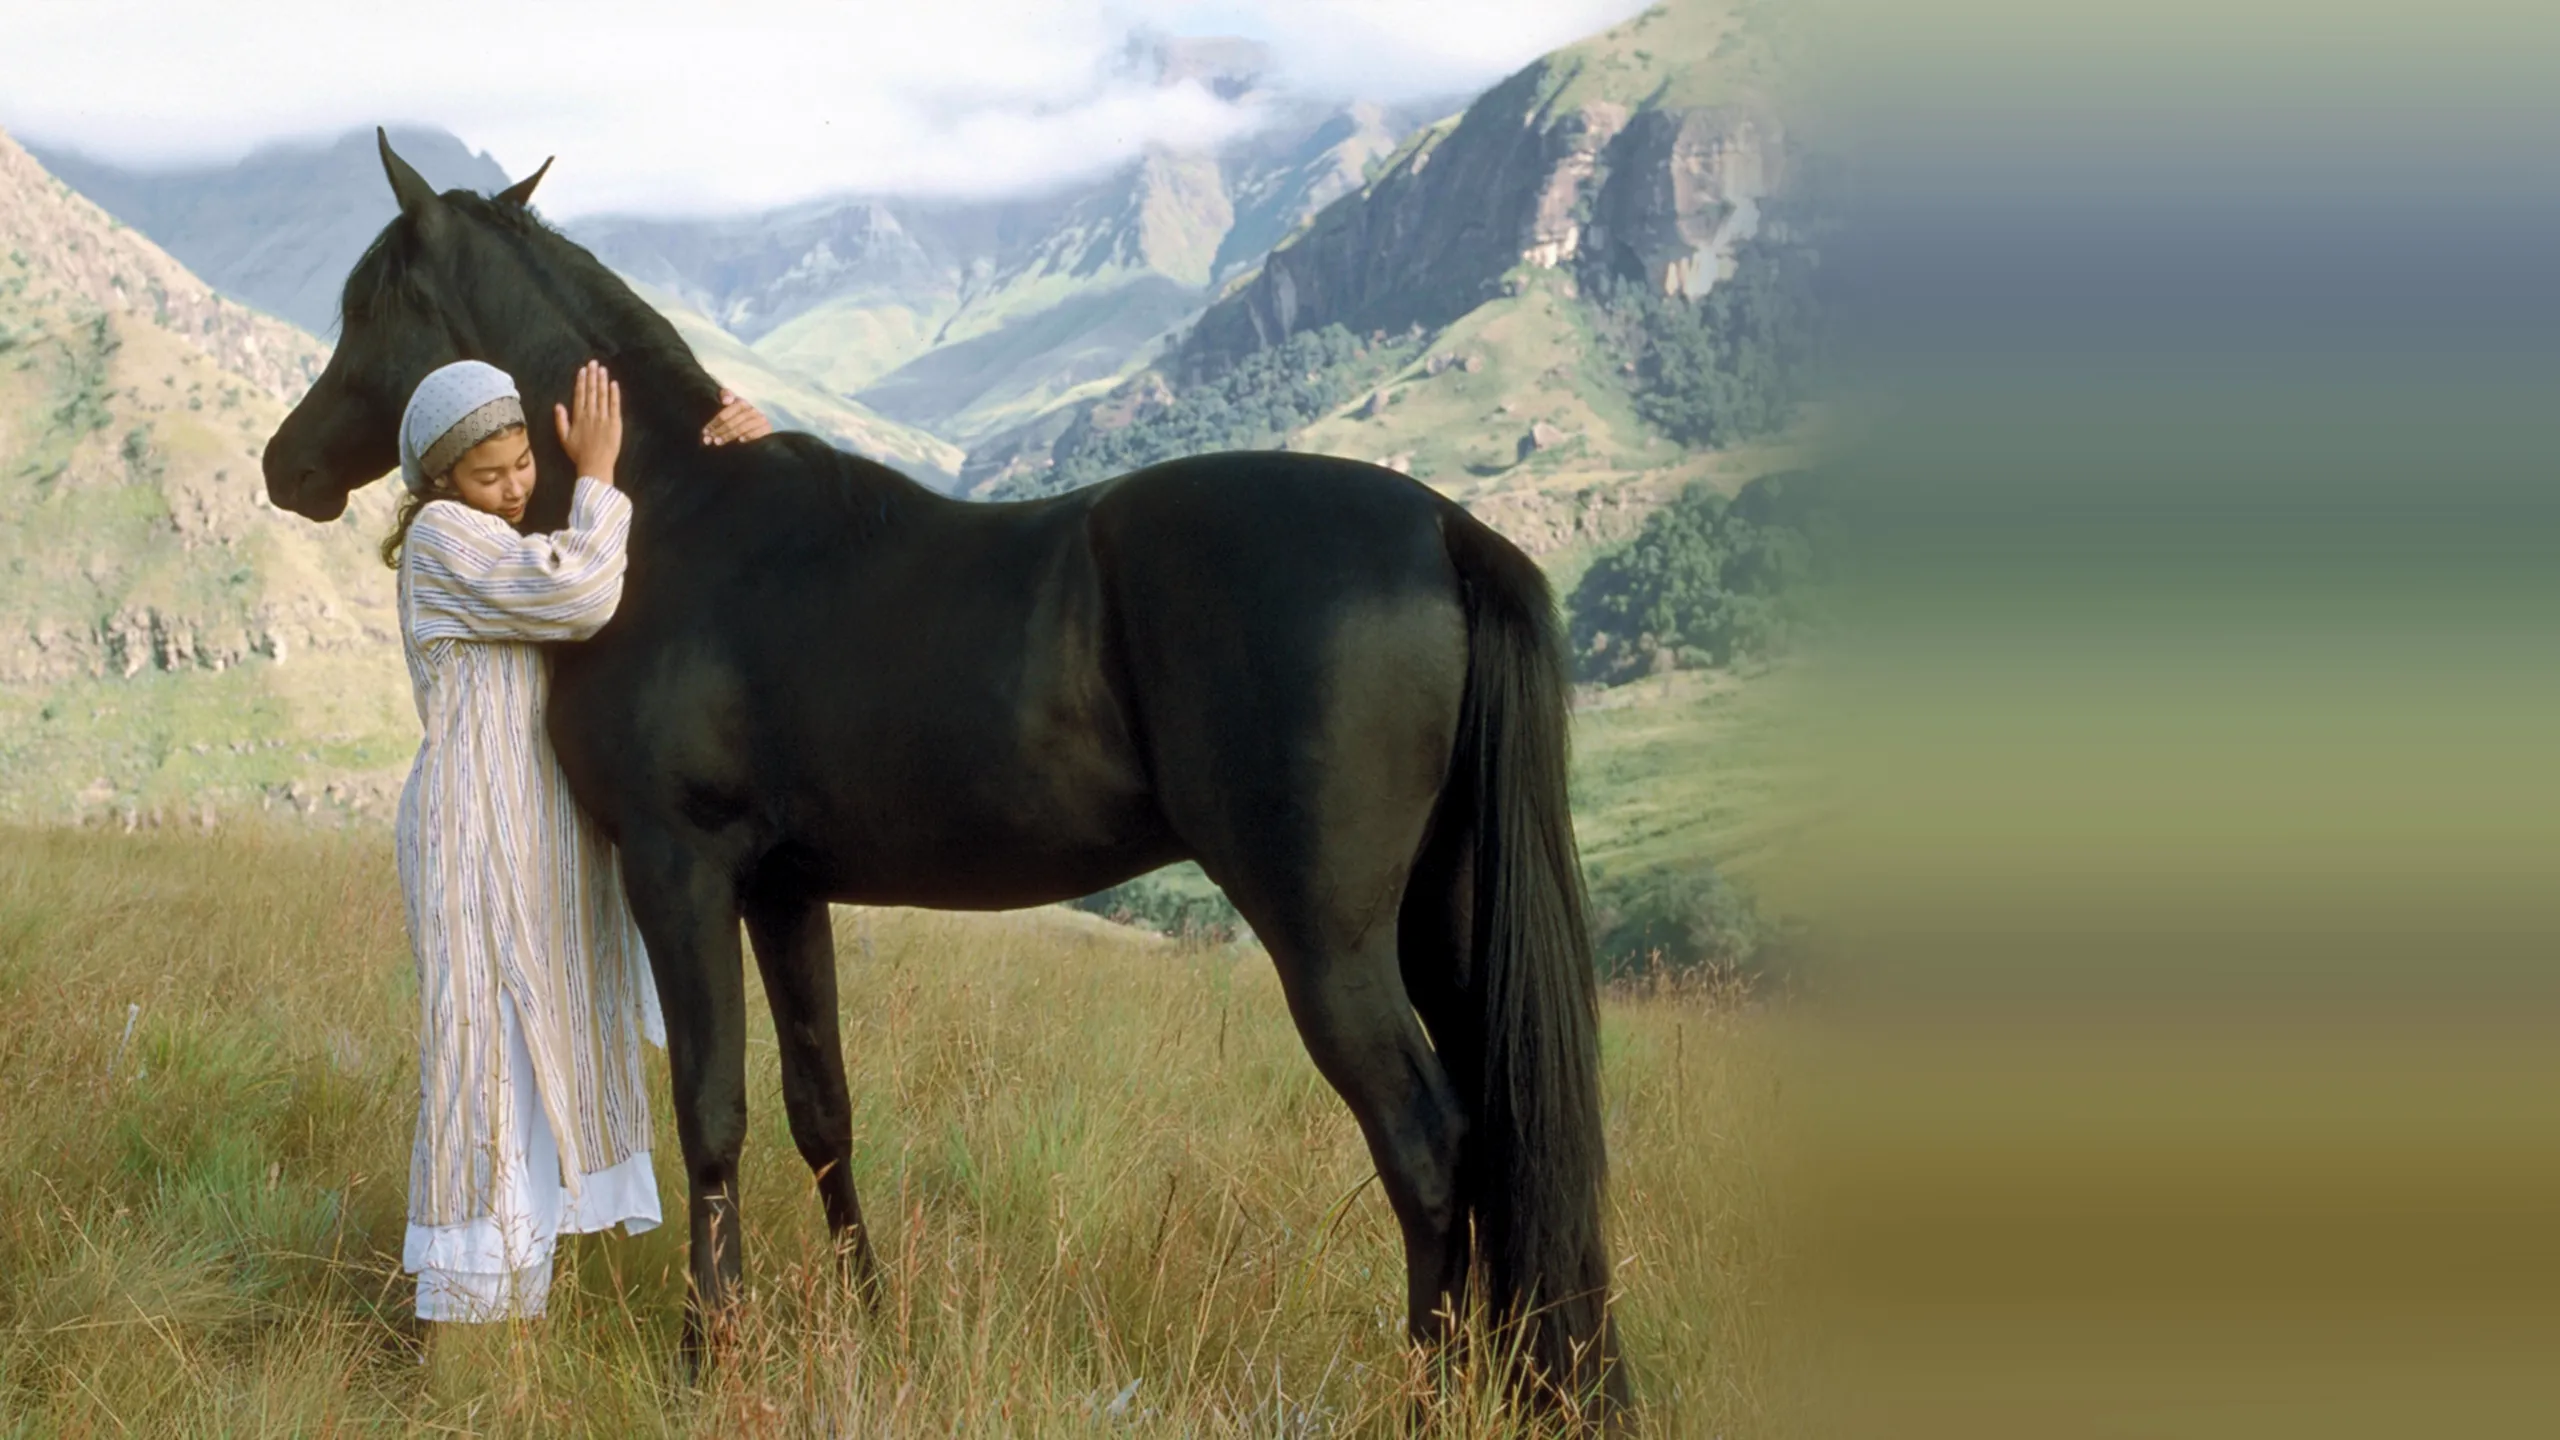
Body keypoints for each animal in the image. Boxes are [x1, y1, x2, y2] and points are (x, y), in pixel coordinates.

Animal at [263, 132, 1621, 1415]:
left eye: (366, 306)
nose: (287, 467)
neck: (669, 519)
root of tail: (1438, 527)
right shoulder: (782, 891)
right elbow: (820, 1110)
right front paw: (866, 1320)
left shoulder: (679, 869)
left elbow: (712, 1112)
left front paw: (708, 1355)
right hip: (1441, 922)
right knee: (1491, 1134)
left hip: (1329, 939)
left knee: (1428, 1148)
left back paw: (1430, 1392)